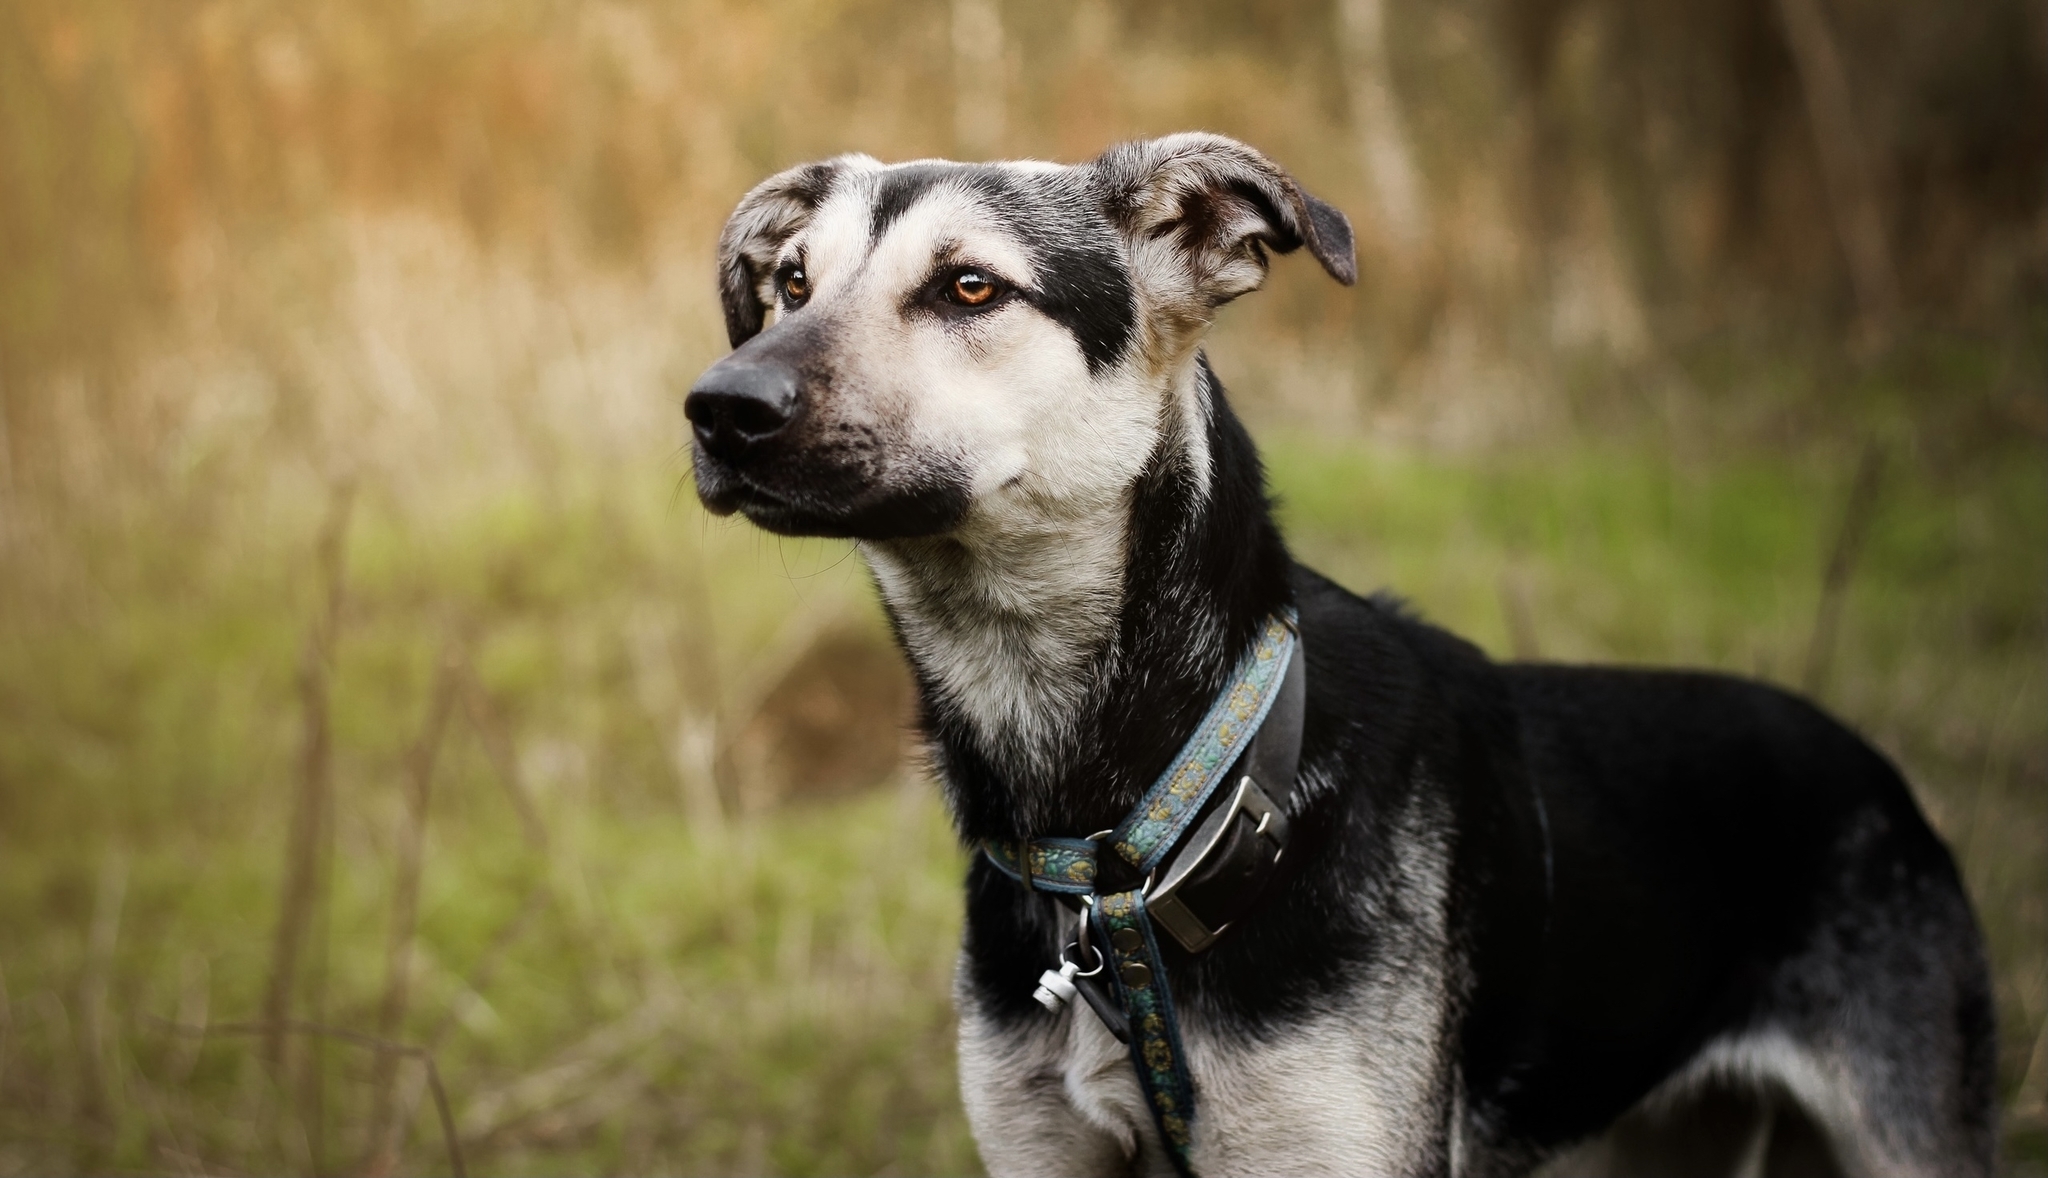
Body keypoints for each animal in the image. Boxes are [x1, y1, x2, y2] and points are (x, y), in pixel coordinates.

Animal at [679, 133, 1990, 1171]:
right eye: (790, 281)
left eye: (967, 287)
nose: (717, 407)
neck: (1137, 827)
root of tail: (1870, 765)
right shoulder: (1039, 1138)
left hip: (1904, 1121)